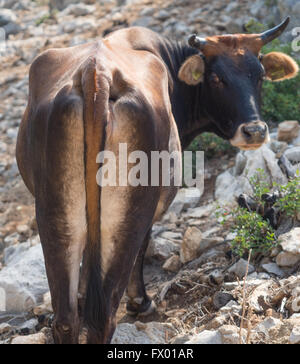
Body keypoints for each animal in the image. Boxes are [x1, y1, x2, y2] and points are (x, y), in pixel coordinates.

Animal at [16, 17, 298, 344]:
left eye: (260, 75)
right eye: (217, 78)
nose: (254, 131)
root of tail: (97, 72)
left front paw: (86, 294)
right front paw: (140, 302)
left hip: (56, 214)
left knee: (65, 319)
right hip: (130, 214)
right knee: (106, 313)